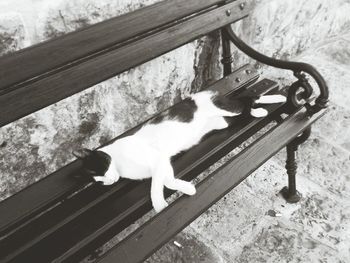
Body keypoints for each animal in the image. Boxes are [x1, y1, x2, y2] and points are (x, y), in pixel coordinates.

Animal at [72, 90, 286, 212]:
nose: (107, 182)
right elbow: (167, 180)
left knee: (246, 99)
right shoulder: (163, 163)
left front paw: (159, 206)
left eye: (97, 171)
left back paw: (272, 101)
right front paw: (187, 187)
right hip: (222, 122)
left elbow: (155, 187)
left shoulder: (158, 159)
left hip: (225, 108)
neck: (119, 162)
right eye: (96, 182)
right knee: (241, 108)